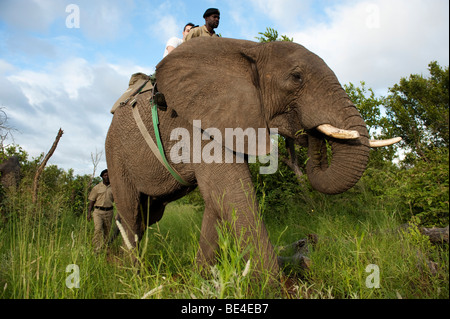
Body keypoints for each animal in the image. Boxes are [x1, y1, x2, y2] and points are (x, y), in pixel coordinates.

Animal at [104, 37, 398, 278]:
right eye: (296, 77)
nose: (307, 133)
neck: (251, 49)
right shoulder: (195, 120)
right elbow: (232, 193)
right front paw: (273, 287)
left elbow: (219, 200)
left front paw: (200, 279)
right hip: (114, 153)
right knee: (131, 213)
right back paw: (134, 276)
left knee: (147, 215)